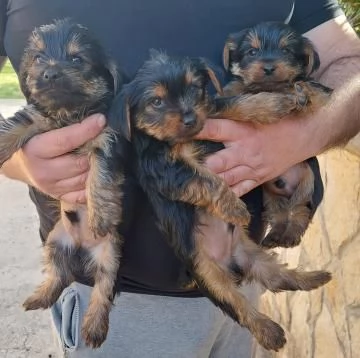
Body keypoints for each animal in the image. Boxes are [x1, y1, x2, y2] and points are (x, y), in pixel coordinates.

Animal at [0, 18, 125, 346]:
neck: (68, 113)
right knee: (59, 274)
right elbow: (17, 124)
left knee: (103, 287)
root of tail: (80, 246)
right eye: (38, 58)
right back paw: (40, 297)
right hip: (55, 242)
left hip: (111, 253)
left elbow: (99, 173)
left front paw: (100, 215)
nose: (50, 73)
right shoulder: (38, 118)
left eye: (76, 59)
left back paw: (94, 326)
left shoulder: (105, 139)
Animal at [109, 51, 332, 352]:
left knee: (277, 276)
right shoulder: (167, 169)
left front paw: (277, 103)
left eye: (195, 88)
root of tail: (230, 258)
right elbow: (207, 180)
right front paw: (235, 208)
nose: (189, 118)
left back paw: (314, 278)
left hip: (253, 256)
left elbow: (231, 103)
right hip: (209, 275)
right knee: (238, 306)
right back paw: (269, 332)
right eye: (156, 102)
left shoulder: (209, 112)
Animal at [224, 20, 334, 249]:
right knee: (281, 214)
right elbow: (239, 93)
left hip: (309, 186)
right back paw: (274, 236)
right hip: (271, 196)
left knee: (300, 212)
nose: (267, 67)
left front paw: (301, 93)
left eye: (286, 51)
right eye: (252, 52)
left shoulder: (322, 92)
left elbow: (310, 88)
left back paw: (290, 236)